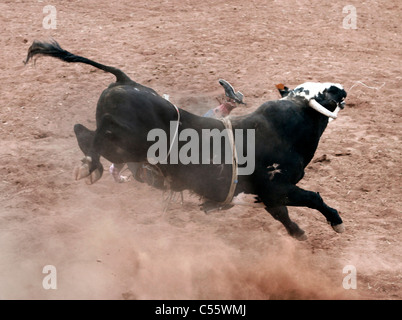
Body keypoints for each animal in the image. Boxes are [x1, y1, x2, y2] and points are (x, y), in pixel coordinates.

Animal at [25, 40, 346, 240]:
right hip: (124, 140)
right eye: (324, 93)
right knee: (95, 137)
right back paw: (88, 166)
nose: (342, 89)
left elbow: (283, 214)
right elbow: (312, 198)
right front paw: (336, 221)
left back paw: (91, 167)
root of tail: (125, 81)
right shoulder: (278, 186)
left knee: (83, 131)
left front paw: (299, 233)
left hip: (120, 147)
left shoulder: (270, 195)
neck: (288, 126)